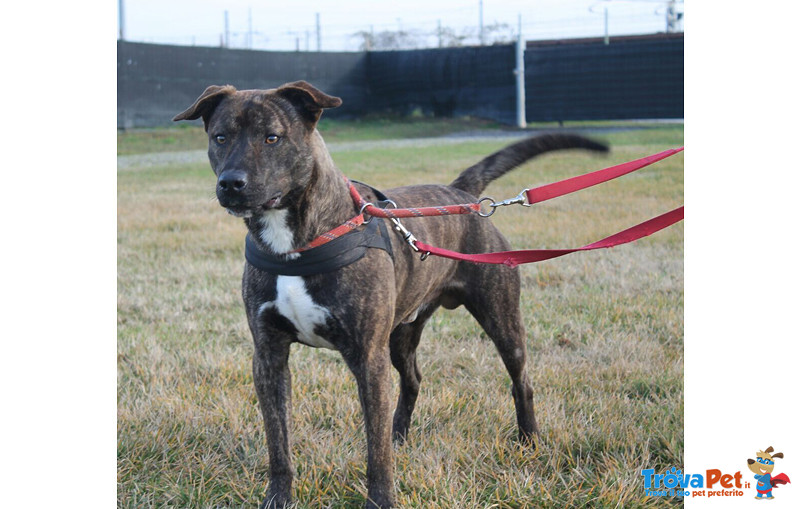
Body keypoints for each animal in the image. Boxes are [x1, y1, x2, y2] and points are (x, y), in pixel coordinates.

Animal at [175, 81, 608, 506]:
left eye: (272, 137)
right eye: (220, 137)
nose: (231, 183)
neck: (297, 240)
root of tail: (461, 194)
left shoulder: (368, 357)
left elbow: (375, 450)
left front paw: (381, 499)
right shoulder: (268, 356)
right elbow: (278, 442)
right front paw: (278, 498)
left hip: (500, 317)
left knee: (521, 380)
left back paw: (529, 440)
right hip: (402, 332)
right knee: (412, 378)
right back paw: (401, 435)